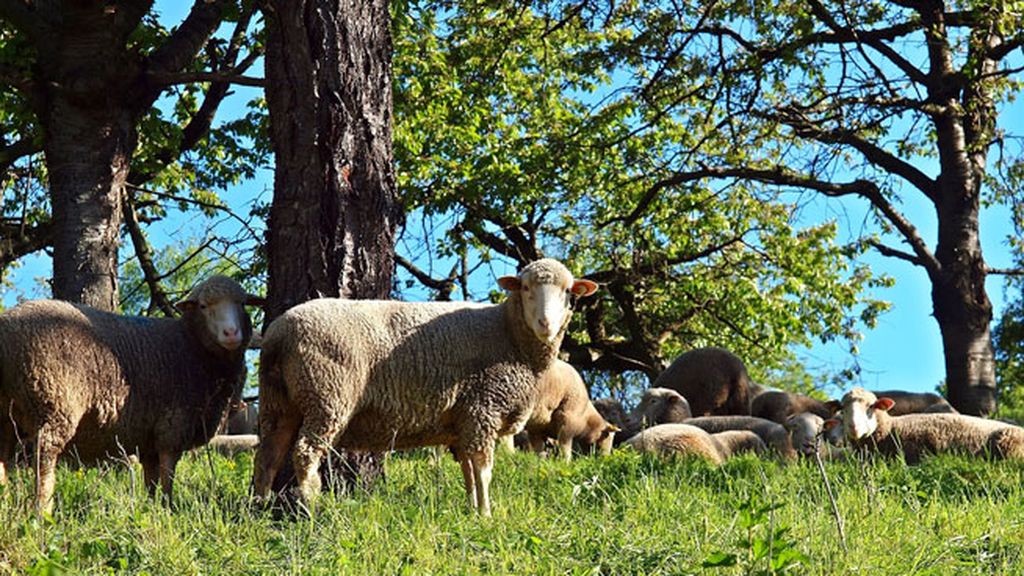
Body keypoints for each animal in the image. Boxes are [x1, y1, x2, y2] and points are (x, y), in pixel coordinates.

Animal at [1, 276, 264, 508]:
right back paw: (43, 511)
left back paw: (5, 501)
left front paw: (153, 508)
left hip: (6, 412)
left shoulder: (149, 438)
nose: (231, 333)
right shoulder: (173, 426)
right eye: (203, 306)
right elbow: (168, 474)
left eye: (242, 303)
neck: (191, 344)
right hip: (53, 403)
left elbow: (152, 480)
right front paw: (169, 507)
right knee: (44, 458)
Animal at [249, 258, 598, 512]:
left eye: (569, 292)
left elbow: (468, 472)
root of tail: (279, 332)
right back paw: (313, 505)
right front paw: (487, 514)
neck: (508, 333)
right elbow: (483, 470)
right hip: (327, 394)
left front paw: (472, 510)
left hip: (279, 400)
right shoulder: (482, 409)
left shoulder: (463, 421)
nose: (546, 324)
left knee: (268, 454)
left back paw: (259, 508)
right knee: (305, 452)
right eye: (525, 288)